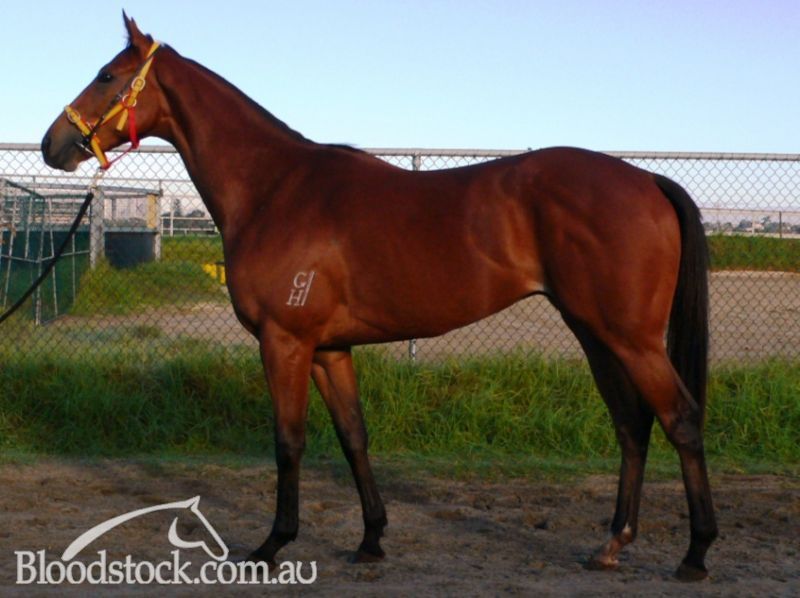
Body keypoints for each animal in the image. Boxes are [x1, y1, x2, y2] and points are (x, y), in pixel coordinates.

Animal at [41, 14, 717, 581]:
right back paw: (613, 543)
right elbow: (354, 437)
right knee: (631, 424)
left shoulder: (285, 343)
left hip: (629, 338)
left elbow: (288, 441)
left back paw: (696, 553)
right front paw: (371, 539)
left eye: (107, 76)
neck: (275, 188)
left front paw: (271, 545)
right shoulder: (329, 350)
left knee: (679, 419)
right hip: (595, 333)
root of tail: (646, 179)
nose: (54, 144)